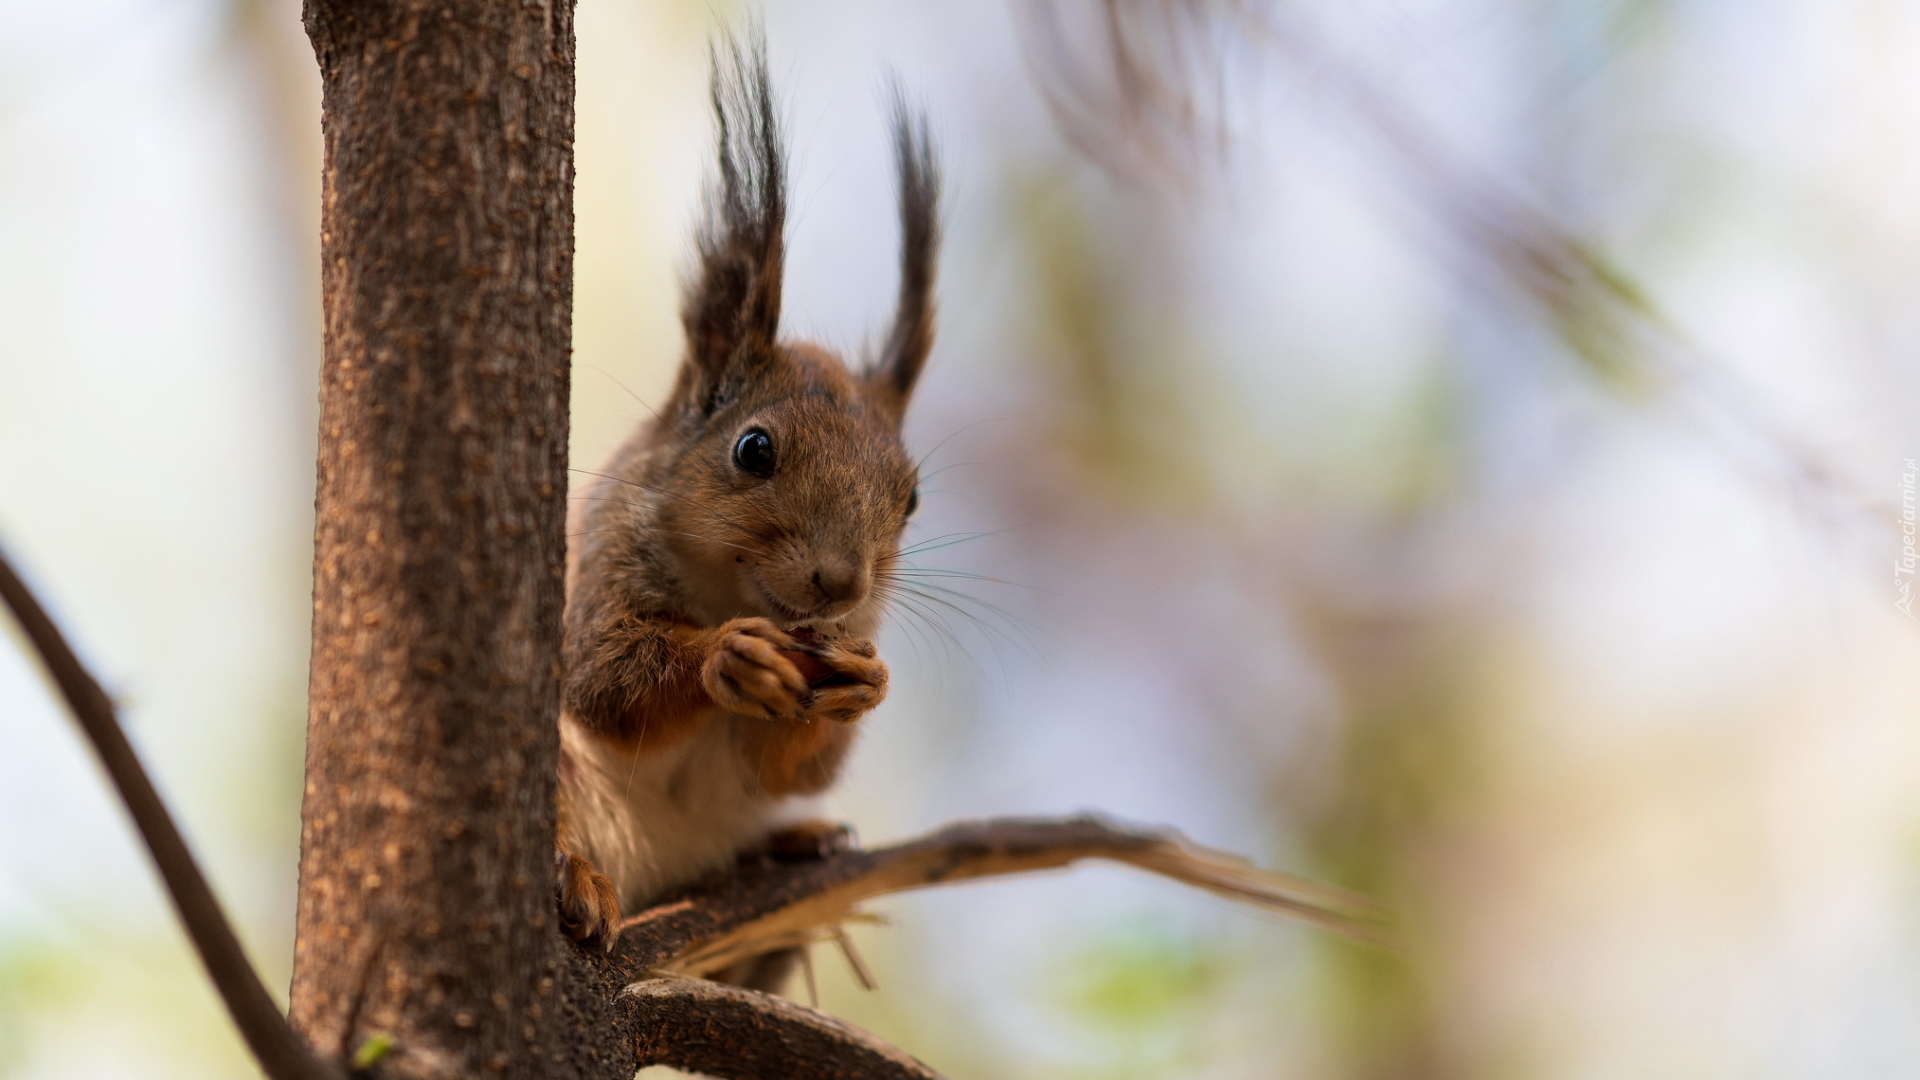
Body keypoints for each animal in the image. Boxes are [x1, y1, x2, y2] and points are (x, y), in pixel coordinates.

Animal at [549, 35, 936, 957]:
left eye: (910, 499)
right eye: (753, 448)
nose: (841, 584)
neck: (728, 590)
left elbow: (788, 767)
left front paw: (866, 683)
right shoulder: (599, 567)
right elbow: (603, 683)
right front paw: (722, 657)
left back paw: (798, 840)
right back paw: (577, 880)